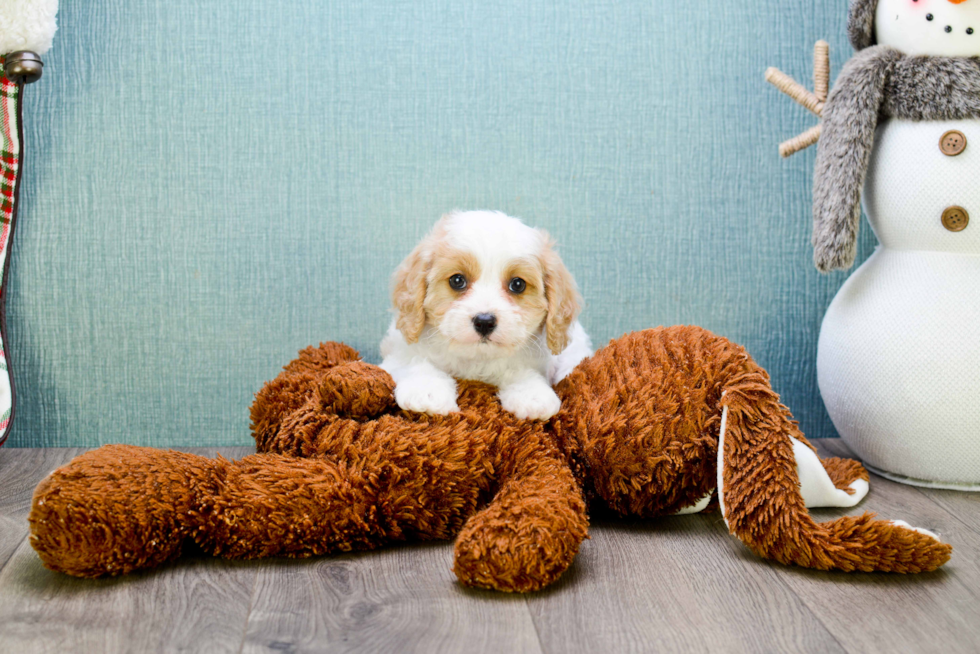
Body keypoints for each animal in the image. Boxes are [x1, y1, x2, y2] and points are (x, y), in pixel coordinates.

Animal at [380, 213, 592, 422]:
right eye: (457, 280)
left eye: (518, 284)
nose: (484, 322)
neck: (477, 359)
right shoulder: (397, 356)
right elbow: (415, 362)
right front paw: (426, 390)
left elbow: (521, 370)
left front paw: (531, 395)